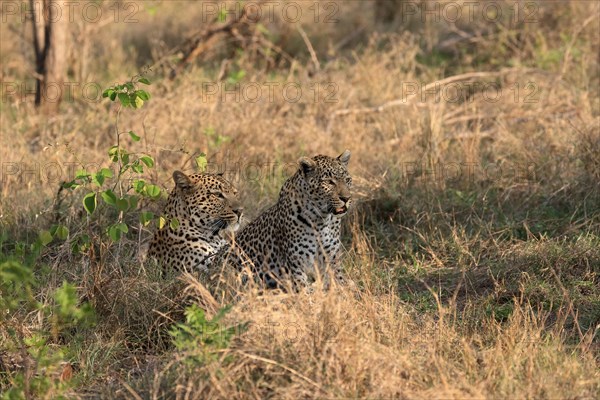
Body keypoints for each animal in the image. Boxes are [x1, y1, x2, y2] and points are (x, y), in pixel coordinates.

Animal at [212, 148, 352, 290]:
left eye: (347, 180)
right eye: (329, 182)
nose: (346, 198)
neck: (322, 220)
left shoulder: (332, 258)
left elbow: (340, 283)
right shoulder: (296, 266)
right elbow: (306, 290)